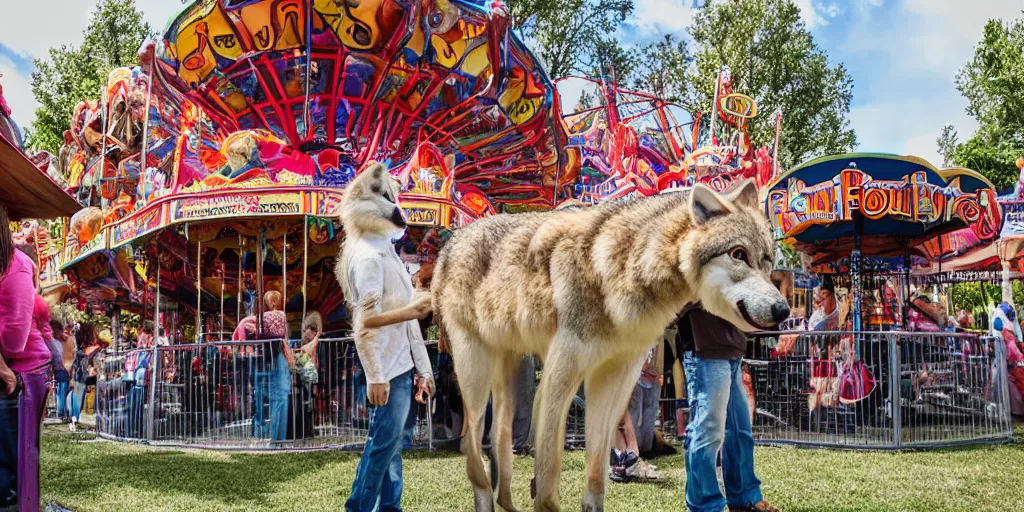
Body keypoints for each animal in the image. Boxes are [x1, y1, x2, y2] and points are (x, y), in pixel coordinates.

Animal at [428, 180, 786, 512]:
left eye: (768, 261)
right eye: (739, 254)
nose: (783, 310)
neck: (625, 266)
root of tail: (449, 244)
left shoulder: (615, 376)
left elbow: (597, 470)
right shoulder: (561, 373)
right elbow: (548, 470)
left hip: (509, 381)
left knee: (498, 447)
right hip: (476, 381)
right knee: (475, 458)